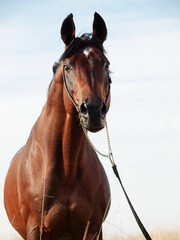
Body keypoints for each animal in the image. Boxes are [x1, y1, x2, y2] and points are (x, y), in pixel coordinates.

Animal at [3, 13, 111, 240]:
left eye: (106, 64)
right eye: (67, 67)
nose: (93, 110)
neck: (66, 168)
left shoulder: (93, 230)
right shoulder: (36, 230)